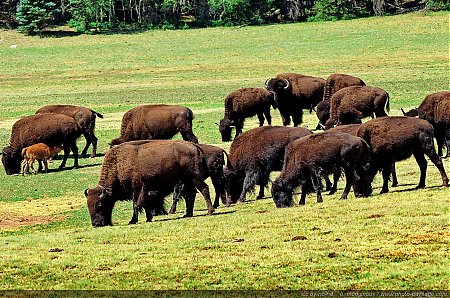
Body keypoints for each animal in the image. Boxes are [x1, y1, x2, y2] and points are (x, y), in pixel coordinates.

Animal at [85, 139, 214, 226]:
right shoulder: (145, 190)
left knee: (204, 189)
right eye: (88, 205)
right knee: (191, 195)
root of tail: (194, 147)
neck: (118, 164)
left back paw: (210, 211)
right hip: (188, 181)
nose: (95, 224)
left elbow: (136, 205)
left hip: (195, 178)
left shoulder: (137, 189)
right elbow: (145, 204)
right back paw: (188, 214)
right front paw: (148, 218)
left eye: (99, 204)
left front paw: (133, 220)